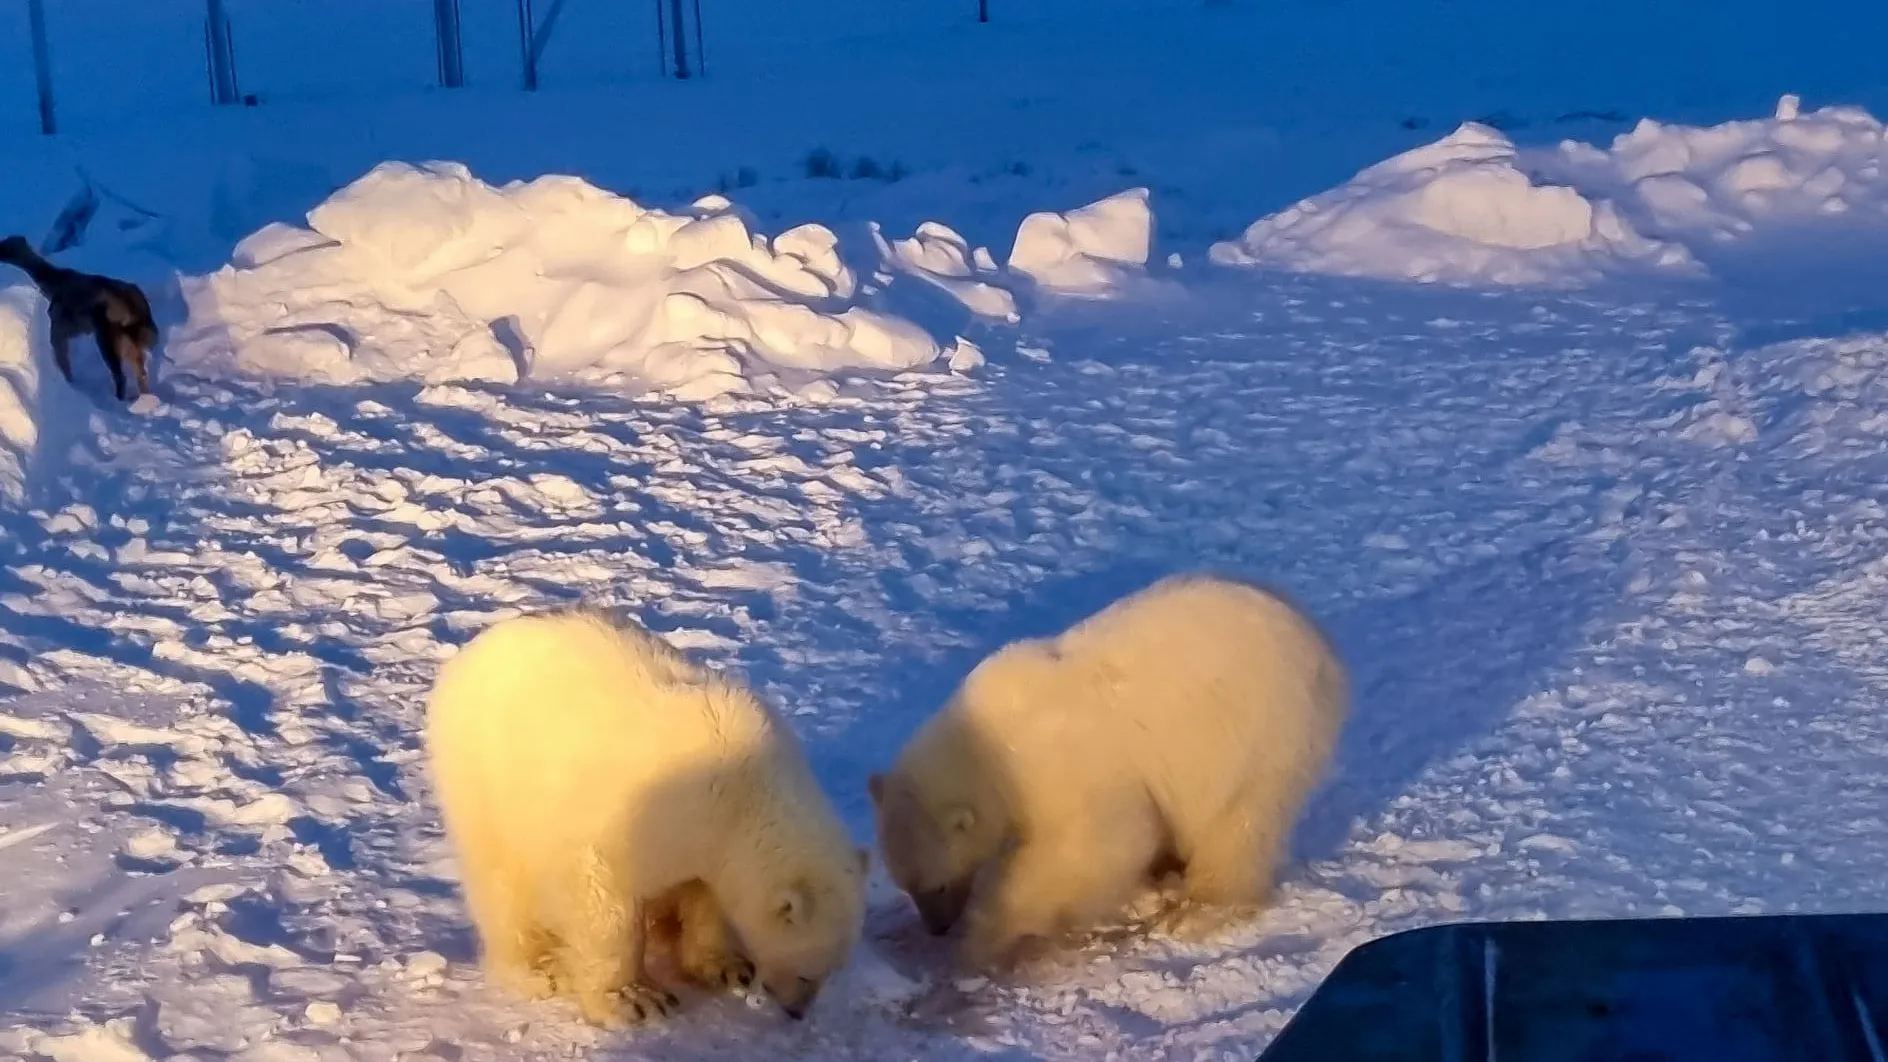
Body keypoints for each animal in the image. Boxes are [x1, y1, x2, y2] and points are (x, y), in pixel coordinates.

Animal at [0, 235, 157, 400]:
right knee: (141, 373)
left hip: (109, 338)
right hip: (131, 340)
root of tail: (137, 308)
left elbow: (62, 358)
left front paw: (68, 382)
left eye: (6, 246)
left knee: (121, 376)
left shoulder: (61, 325)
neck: (52, 283)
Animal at [424, 608, 864, 1020]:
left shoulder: (704, 834)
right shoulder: (629, 815)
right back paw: (538, 967)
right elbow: (603, 896)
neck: (744, 787)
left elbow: (704, 893)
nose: (796, 1012)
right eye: (807, 972)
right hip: (484, 774)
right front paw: (635, 999)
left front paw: (727, 967)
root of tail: (479, 645)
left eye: (828, 972)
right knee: (501, 877)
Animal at [868, 570, 1344, 967]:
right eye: (906, 884)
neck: (988, 743)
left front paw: (986, 935)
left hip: (1260, 731)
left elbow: (1094, 846)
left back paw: (1198, 908)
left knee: (1236, 822)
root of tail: (1320, 644)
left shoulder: (1066, 764)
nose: (937, 928)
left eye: (937, 884)